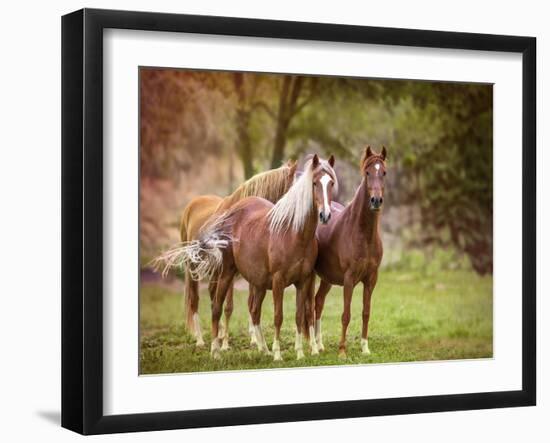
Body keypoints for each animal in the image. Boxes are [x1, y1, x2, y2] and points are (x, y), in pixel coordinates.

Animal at [155, 163, 298, 350]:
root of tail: (192, 204)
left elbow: (249, 303)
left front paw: (253, 340)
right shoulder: (230, 271)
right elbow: (229, 306)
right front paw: (225, 344)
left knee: (212, 295)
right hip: (193, 267)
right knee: (195, 299)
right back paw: (201, 340)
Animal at [185, 155, 338, 360]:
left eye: (331, 183)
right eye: (314, 183)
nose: (325, 215)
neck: (294, 233)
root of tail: (230, 212)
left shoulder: (303, 281)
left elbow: (299, 316)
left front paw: (299, 353)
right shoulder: (278, 281)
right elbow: (278, 316)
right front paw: (278, 355)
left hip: (257, 281)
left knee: (254, 310)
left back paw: (263, 349)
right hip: (225, 274)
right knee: (216, 307)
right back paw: (215, 351)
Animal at [314, 147, 388, 360]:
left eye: (384, 173)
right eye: (367, 173)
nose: (376, 201)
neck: (362, 233)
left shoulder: (371, 279)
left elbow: (366, 313)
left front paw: (365, 348)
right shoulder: (349, 279)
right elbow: (345, 315)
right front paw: (342, 351)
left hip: (327, 279)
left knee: (318, 302)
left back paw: (319, 345)